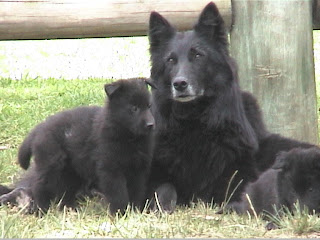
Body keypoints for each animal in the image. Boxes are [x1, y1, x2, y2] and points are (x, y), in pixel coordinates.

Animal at [2, 78, 155, 214]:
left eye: (149, 106)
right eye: (134, 108)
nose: (151, 124)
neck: (128, 137)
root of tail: (40, 127)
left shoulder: (138, 168)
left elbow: (137, 190)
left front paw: (135, 210)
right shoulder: (110, 169)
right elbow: (118, 193)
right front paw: (120, 212)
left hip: (70, 171)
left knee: (64, 190)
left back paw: (69, 208)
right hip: (51, 164)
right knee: (40, 186)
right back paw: (41, 209)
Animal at [148, 1, 260, 208]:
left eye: (198, 55)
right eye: (170, 60)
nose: (180, 84)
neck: (192, 119)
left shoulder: (239, 168)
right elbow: (165, 188)